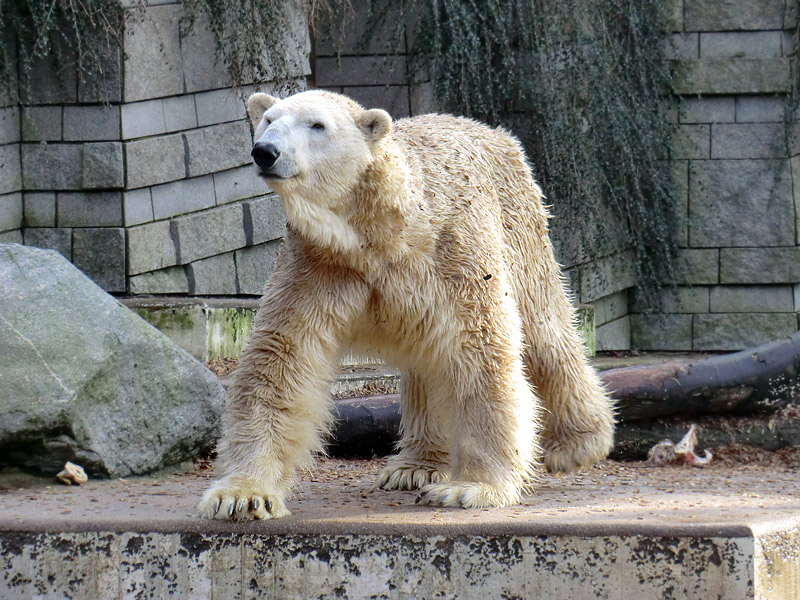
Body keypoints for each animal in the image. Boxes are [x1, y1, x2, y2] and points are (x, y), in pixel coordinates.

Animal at [198, 90, 612, 520]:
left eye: (317, 125)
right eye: (268, 120)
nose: (265, 152)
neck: (384, 229)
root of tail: (490, 129)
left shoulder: (454, 252)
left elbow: (480, 347)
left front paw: (470, 487)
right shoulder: (320, 262)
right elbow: (281, 357)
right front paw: (242, 495)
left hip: (519, 223)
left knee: (544, 326)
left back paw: (580, 442)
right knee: (429, 362)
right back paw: (415, 466)